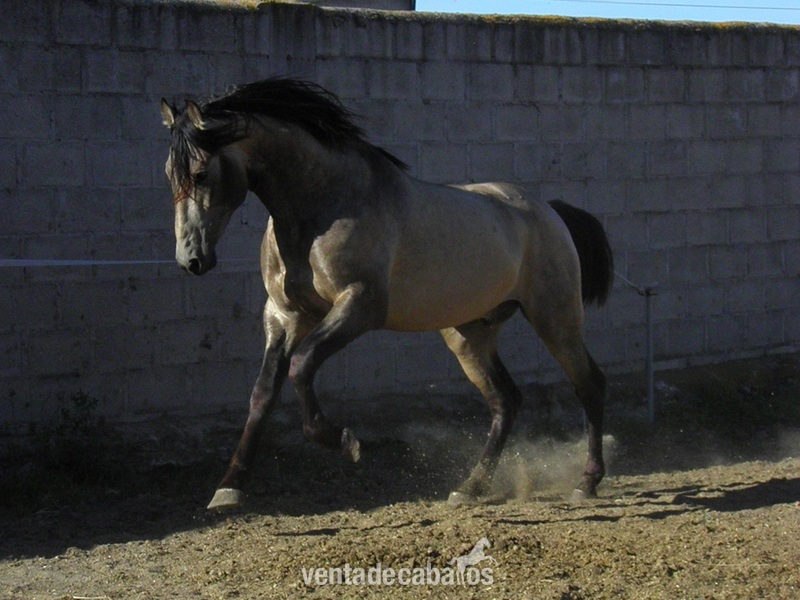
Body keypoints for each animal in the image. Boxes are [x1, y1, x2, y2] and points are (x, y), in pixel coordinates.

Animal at [160, 78, 613, 510]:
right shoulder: (284, 316)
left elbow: (302, 366)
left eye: (200, 174)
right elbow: (262, 394)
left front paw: (344, 442)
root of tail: (549, 210)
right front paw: (229, 488)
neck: (323, 205)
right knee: (506, 401)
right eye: (168, 175)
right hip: (469, 333)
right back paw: (470, 487)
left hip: (555, 317)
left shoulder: (359, 306)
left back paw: (586, 482)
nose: (191, 260)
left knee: (588, 384)